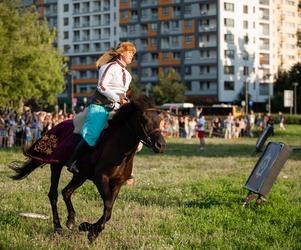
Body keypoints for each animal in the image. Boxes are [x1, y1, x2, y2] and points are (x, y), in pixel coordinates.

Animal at [9, 94, 165, 242]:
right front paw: (91, 230)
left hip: (80, 175)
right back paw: (58, 226)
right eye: (143, 119)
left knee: (66, 191)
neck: (120, 148)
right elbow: (108, 205)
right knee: (53, 194)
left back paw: (71, 220)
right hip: (56, 166)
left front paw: (89, 228)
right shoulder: (100, 178)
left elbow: (109, 210)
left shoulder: (117, 183)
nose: (161, 145)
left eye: (159, 119)